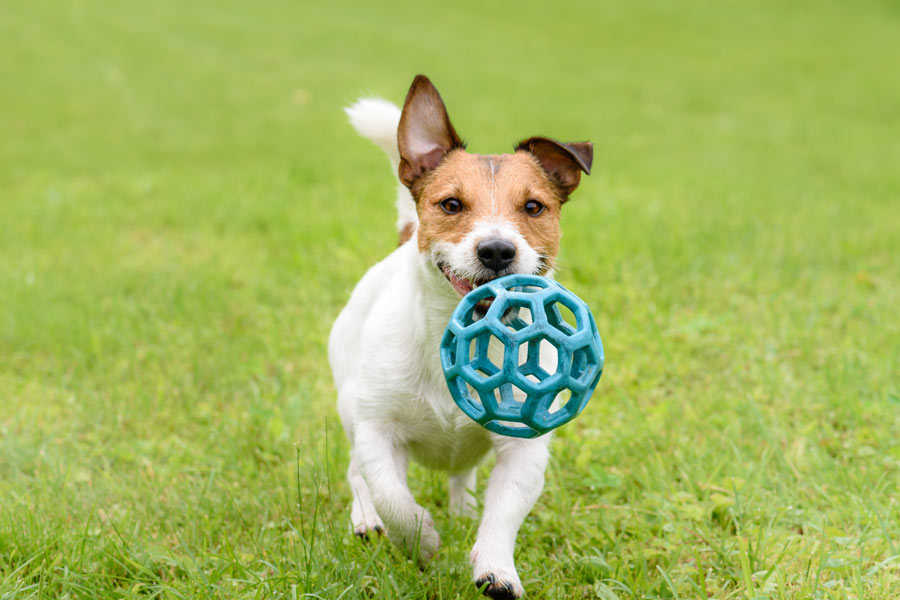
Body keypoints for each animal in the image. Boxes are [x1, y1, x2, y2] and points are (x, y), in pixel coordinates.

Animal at [328, 77, 592, 596]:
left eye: (534, 207)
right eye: (451, 204)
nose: (497, 250)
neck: (457, 339)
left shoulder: (525, 445)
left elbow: (504, 513)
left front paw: (496, 570)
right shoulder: (377, 429)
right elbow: (391, 494)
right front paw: (420, 540)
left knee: (463, 473)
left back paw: (464, 508)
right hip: (349, 402)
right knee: (355, 471)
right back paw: (367, 518)